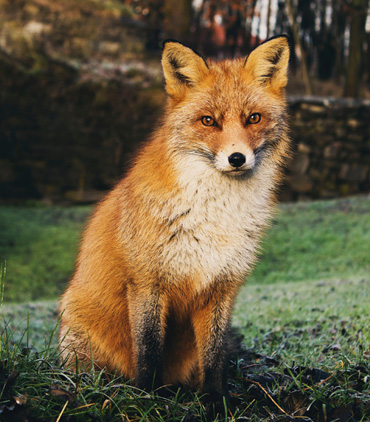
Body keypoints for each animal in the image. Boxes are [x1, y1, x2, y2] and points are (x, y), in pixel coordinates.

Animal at [60, 36, 292, 406]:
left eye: (253, 118)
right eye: (208, 121)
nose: (237, 158)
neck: (215, 216)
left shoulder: (221, 288)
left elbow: (214, 356)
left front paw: (215, 400)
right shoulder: (147, 283)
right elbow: (149, 350)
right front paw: (148, 397)